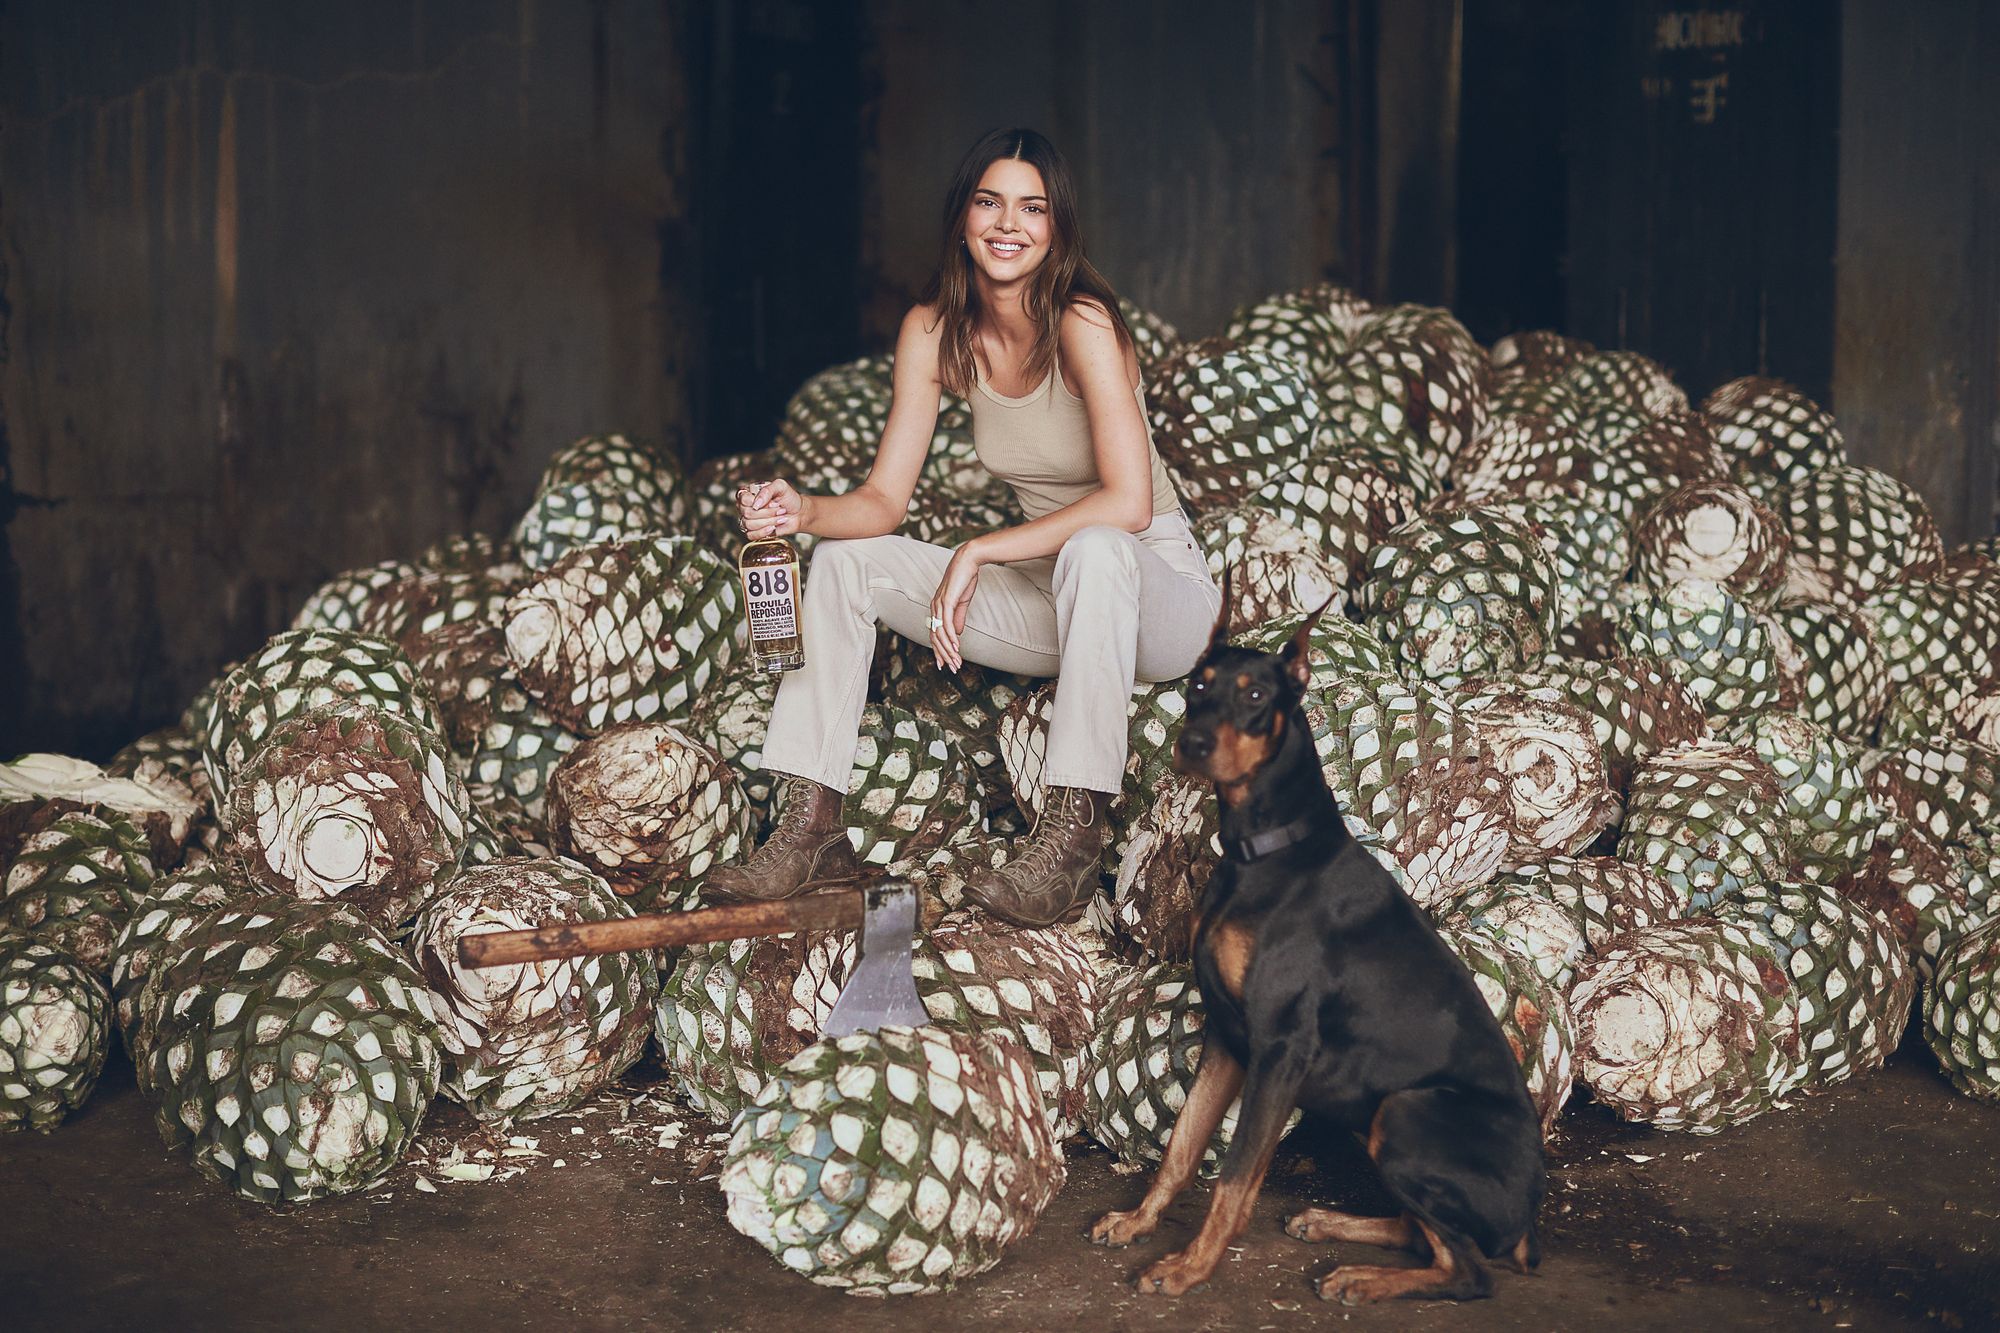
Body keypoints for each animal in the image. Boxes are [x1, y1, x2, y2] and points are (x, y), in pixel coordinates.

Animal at [1096, 576, 1544, 1304]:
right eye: (1198, 684)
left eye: (1256, 696)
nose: (1193, 742)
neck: (1266, 847)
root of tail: (1529, 1216)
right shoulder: (1228, 1036)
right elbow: (1181, 1147)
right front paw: (1139, 1222)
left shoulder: (1280, 1048)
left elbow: (1234, 1176)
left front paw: (1189, 1266)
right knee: (1422, 1230)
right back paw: (1329, 1223)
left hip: (1404, 1111)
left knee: (1468, 1269)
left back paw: (1364, 1278)